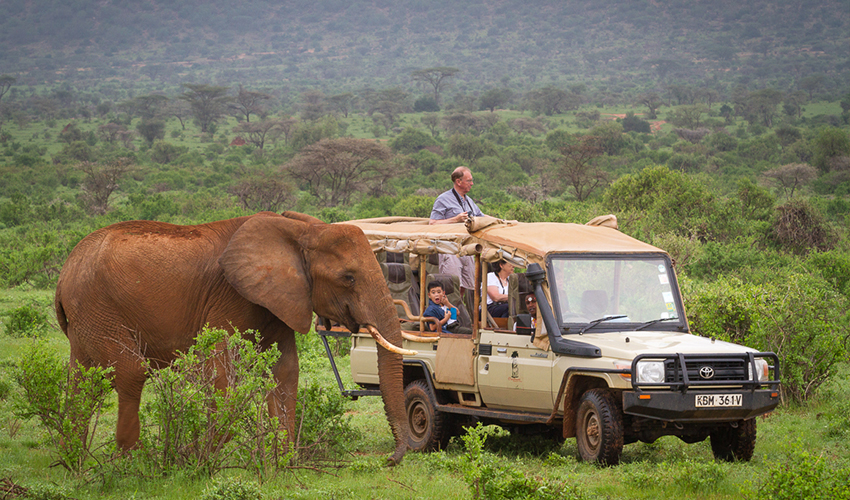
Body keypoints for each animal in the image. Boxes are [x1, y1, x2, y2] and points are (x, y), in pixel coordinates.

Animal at [53, 211, 410, 464]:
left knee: (81, 379)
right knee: (130, 372)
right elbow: (221, 370)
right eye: (348, 278)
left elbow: (285, 370)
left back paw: (74, 460)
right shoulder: (231, 296)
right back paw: (133, 462)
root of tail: (65, 270)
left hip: (87, 316)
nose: (389, 459)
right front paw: (192, 457)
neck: (301, 231)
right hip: (98, 306)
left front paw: (283, 462)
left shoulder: (278, 298)